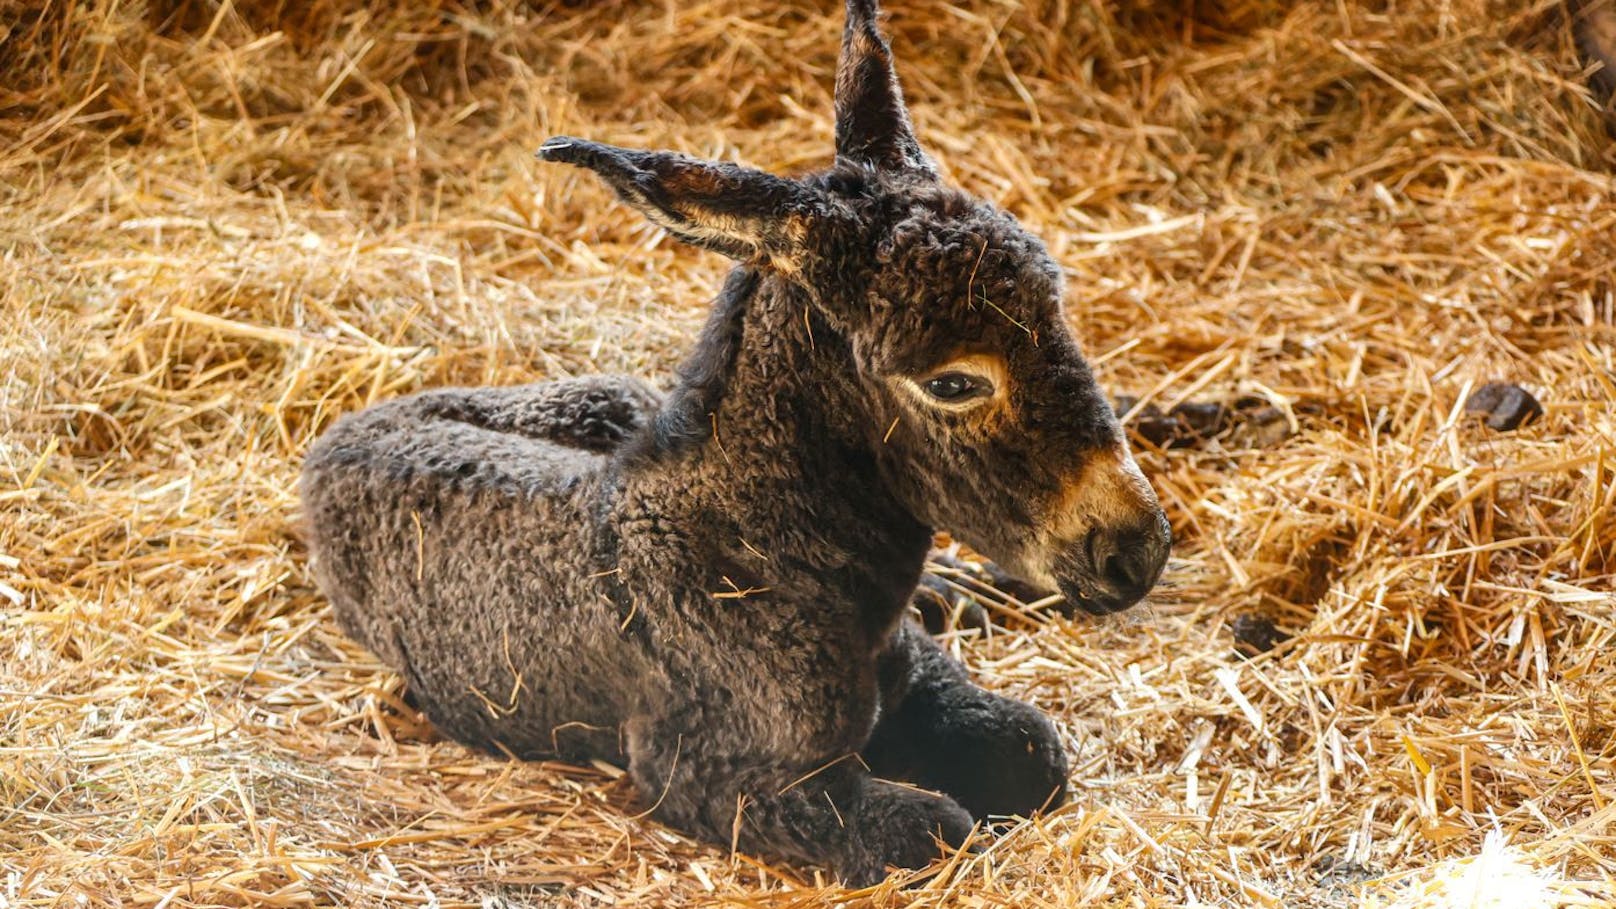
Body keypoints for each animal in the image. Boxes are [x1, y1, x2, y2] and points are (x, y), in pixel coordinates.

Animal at [300, 0, 1163, 879]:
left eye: (1057, 311)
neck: (753, 553)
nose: (1138, 548)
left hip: (616, 397)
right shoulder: (721, 777)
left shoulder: (911, 671)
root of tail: (347, 426)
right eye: (953, 382)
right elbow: (940, 828)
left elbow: (1032, 749)